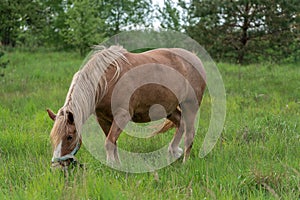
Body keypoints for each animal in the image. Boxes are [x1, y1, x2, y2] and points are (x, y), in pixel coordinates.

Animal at [47, 45, 206, 167]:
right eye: (53, 137)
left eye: (69, 137)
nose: (57, 164)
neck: (106, 82)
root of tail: (194, 57)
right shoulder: (103, 120)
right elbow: (113, 143)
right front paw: (118, 166)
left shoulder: (122, 116)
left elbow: (109, 143)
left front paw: (111, 166)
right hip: (170, 110)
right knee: (181, 124)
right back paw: (173, 153)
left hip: (190, 105)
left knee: (189, 134)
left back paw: (185, 162)